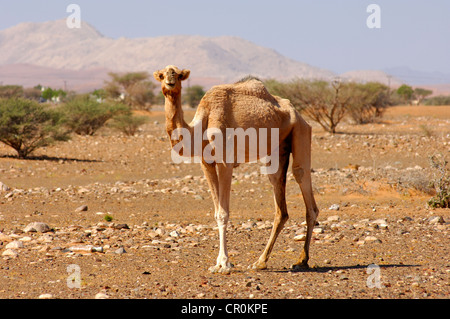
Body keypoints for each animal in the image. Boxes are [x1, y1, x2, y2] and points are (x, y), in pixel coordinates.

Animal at [155, 65, 320, 276]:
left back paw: (302, 260)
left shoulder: (225, 162)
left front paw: (224, 263)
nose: (169, 81)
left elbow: (223, 213)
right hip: (278, 148)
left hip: (300, 131)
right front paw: (218, 263)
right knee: (280, 201)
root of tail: (297, 113)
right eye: (161, 74)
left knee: (303, 180)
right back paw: (261, 261)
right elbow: (217, 212)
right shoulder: (206, 163)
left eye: (177, 74)